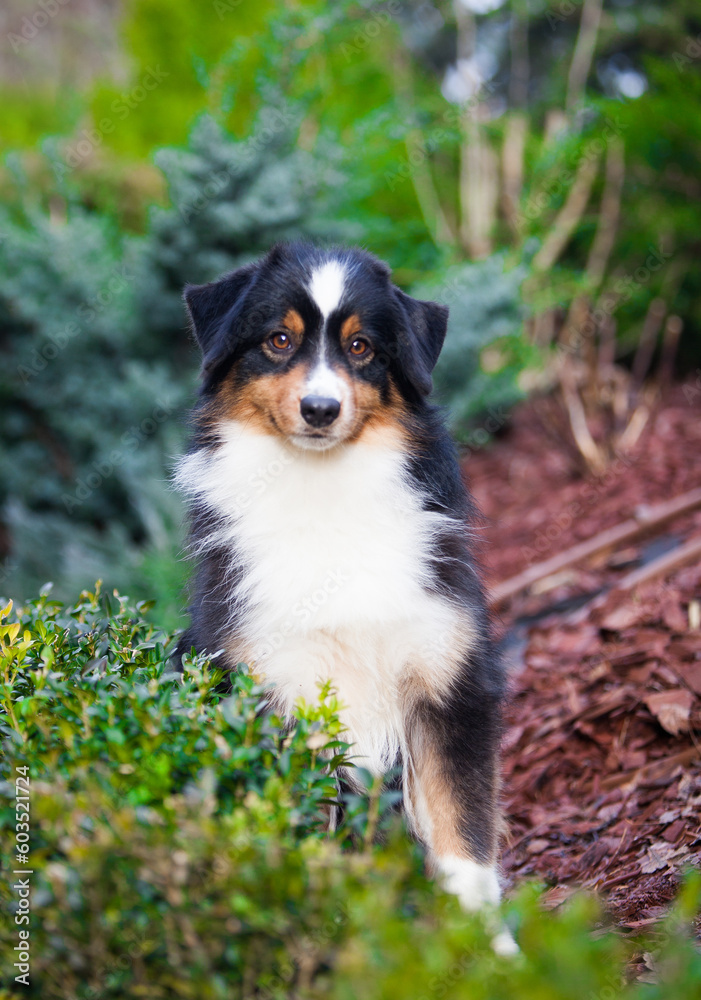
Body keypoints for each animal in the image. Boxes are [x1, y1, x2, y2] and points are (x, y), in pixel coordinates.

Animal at [173, 240, 506, 920]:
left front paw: (488, 945)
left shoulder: (449, 685)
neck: (322, 487)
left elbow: (465, 847)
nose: (321, 410)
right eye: (278, 340)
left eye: (361, 347)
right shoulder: (276, 699)